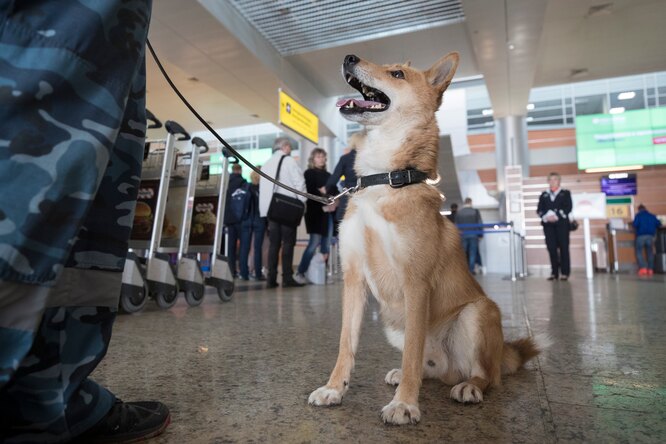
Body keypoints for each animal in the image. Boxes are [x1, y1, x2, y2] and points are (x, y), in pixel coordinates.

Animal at [306, 53, 544, 424]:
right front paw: (334, 388)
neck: (383, 180)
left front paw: (405, 404)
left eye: (397, 74)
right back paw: (405, 375)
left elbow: (413, 352)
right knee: (429, 368)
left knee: (485, 375)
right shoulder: (353, 279)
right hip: (394, 324)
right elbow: (347, 344)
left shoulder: (415, 283)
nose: (349, 57)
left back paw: (469, 386)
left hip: (479, 312)